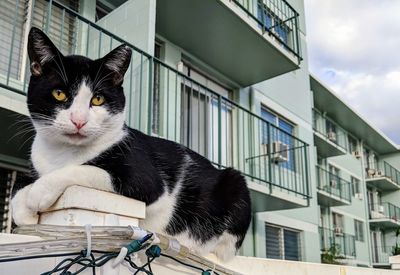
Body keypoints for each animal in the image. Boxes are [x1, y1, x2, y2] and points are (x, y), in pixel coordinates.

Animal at [11, 27, 250, 260]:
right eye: (59, 94)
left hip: (236, 185)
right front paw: (23, 208)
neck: (63, 153)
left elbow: (86, 169)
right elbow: (18, 185)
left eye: (98, 99)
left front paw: (38, 193)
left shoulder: (145, 178)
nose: (79, 120)